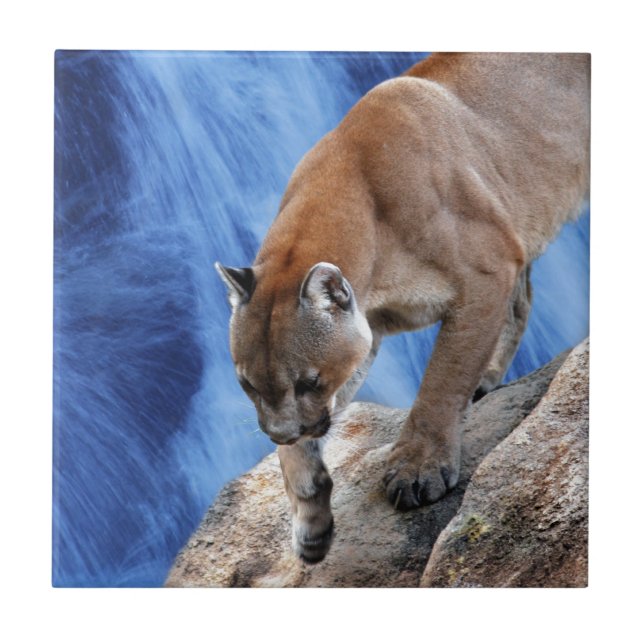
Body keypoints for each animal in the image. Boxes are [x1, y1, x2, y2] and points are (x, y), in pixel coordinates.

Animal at [216, 53, 590, 562]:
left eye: (310, 380)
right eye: (247, 385)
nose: (281, 432)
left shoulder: (486, 272)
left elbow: (442, 379)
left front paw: (418, 468)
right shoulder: (368, 331)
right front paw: (310, 517)